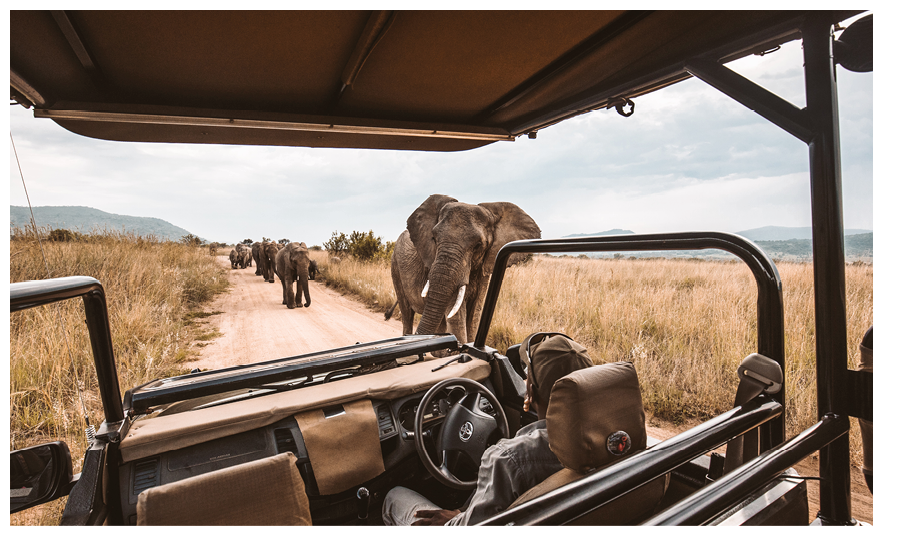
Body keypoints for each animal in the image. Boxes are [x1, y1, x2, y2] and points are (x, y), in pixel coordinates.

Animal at [387, 194, 540, 345]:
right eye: (434, 238)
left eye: (478, 245)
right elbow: (456, 318)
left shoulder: (484, 268)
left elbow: (474, 315)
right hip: (395, 266)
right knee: (407, 314)